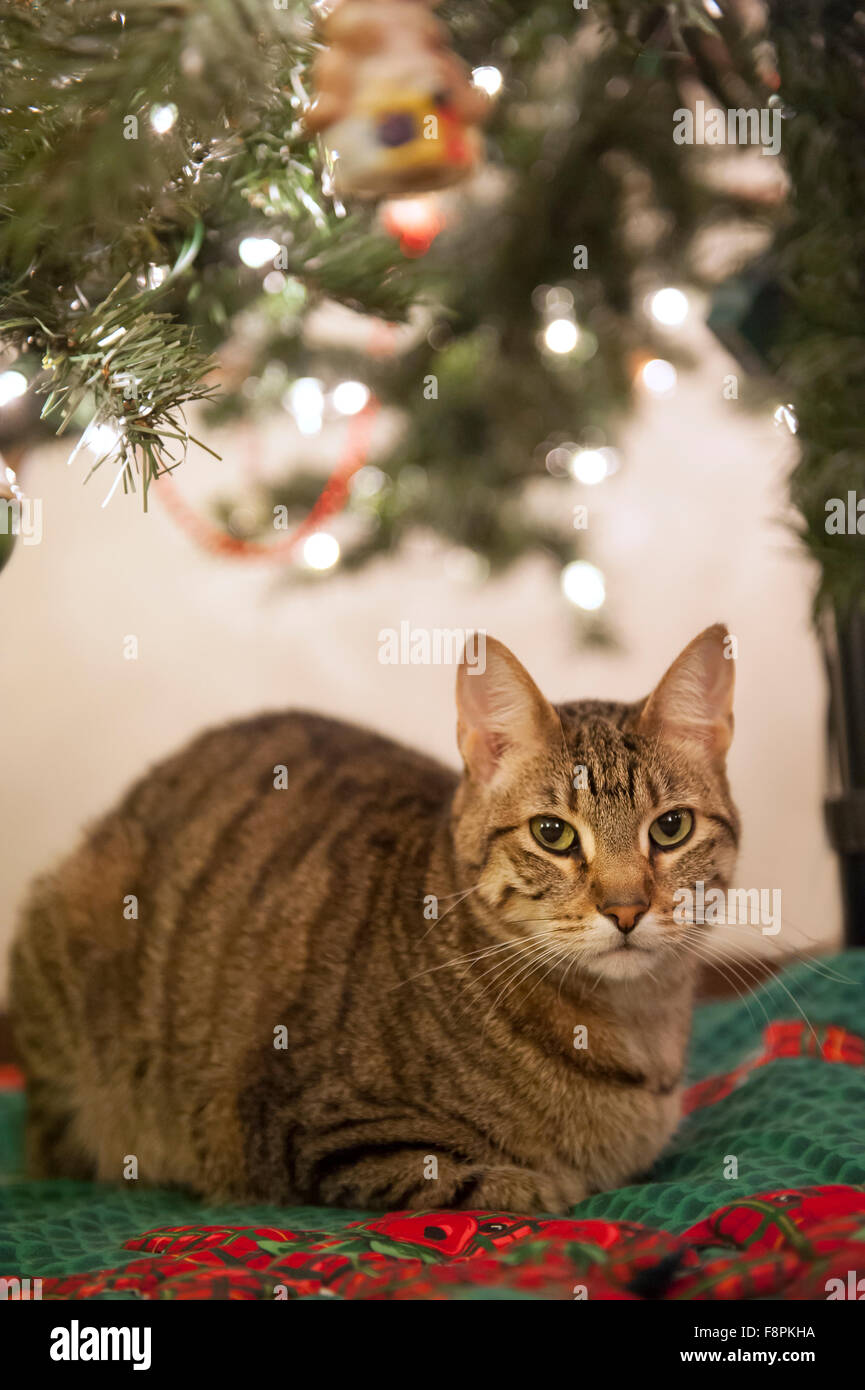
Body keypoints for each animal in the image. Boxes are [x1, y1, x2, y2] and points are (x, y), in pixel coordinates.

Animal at [10, 625, 739, 1212]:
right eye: (553, 834)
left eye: (670, 828)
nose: (625, 909)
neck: (632, 1023)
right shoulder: (318, 1130)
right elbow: (481, 1182)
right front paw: (544, 1185)